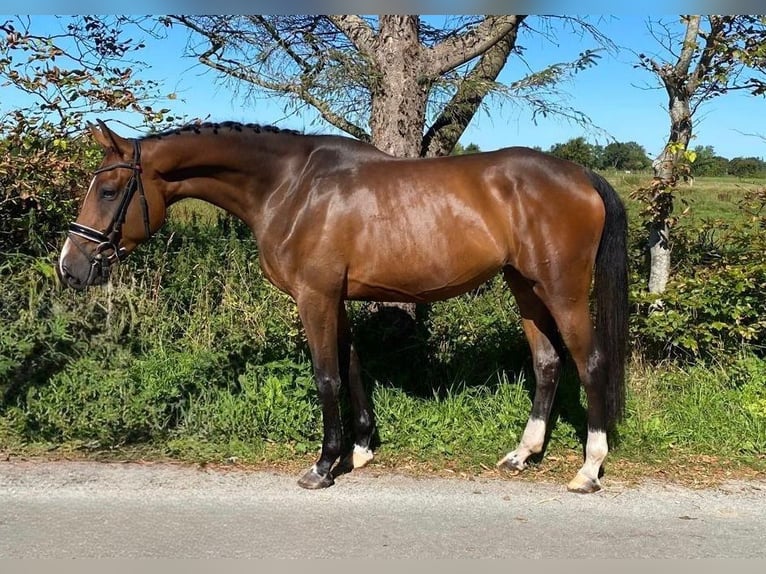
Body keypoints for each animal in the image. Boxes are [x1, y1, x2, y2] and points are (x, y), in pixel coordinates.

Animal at [58, 119, 628, 493]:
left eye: (109, 190)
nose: (70, 266)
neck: (290, 187)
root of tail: (582, 176)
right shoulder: (337, 297)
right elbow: (352, 367)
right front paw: (360, 449)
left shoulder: (314, 297)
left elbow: (326, 376)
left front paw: (323, 465)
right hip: (524, 287)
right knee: (547, 363)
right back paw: (522, 454)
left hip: (562, 290)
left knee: (590, 363)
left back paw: (588, 469)